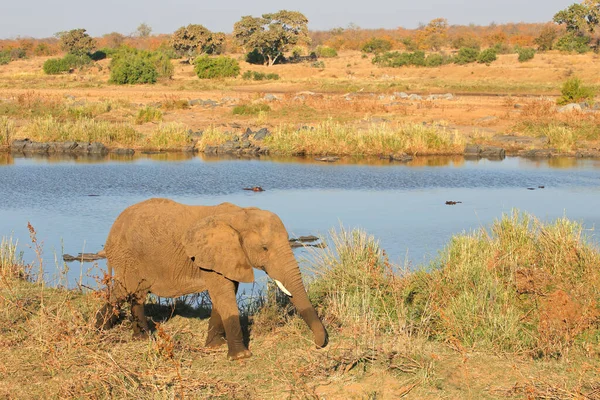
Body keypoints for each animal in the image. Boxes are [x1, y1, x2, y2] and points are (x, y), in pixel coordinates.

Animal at [96, 198, 328, 360]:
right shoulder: (209, 256)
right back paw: (100, 330)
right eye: (264, 248)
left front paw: (215, 346)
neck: (240, 214)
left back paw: (141, 337)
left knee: (137, 294)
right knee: (124, 291)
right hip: (127, 257)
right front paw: (241, 356)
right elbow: (224, 295)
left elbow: (226, 294)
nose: (317, 344)